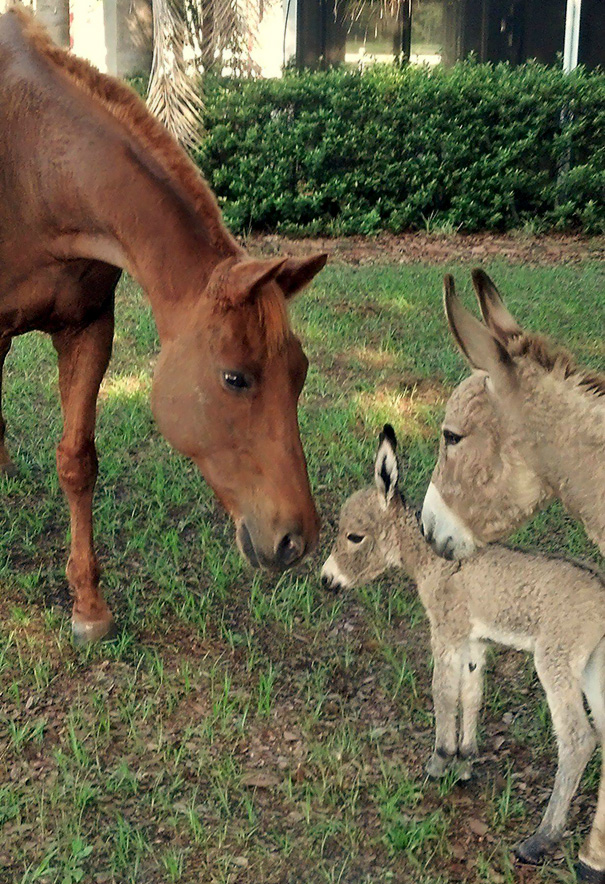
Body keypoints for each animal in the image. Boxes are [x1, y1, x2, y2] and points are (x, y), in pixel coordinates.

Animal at [0, 7, 327, 643]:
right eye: (234, 378)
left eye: (300, 373)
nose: (295, 540)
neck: (34, 167)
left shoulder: (88, 329)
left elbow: (78, 461)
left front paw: (89, 605)